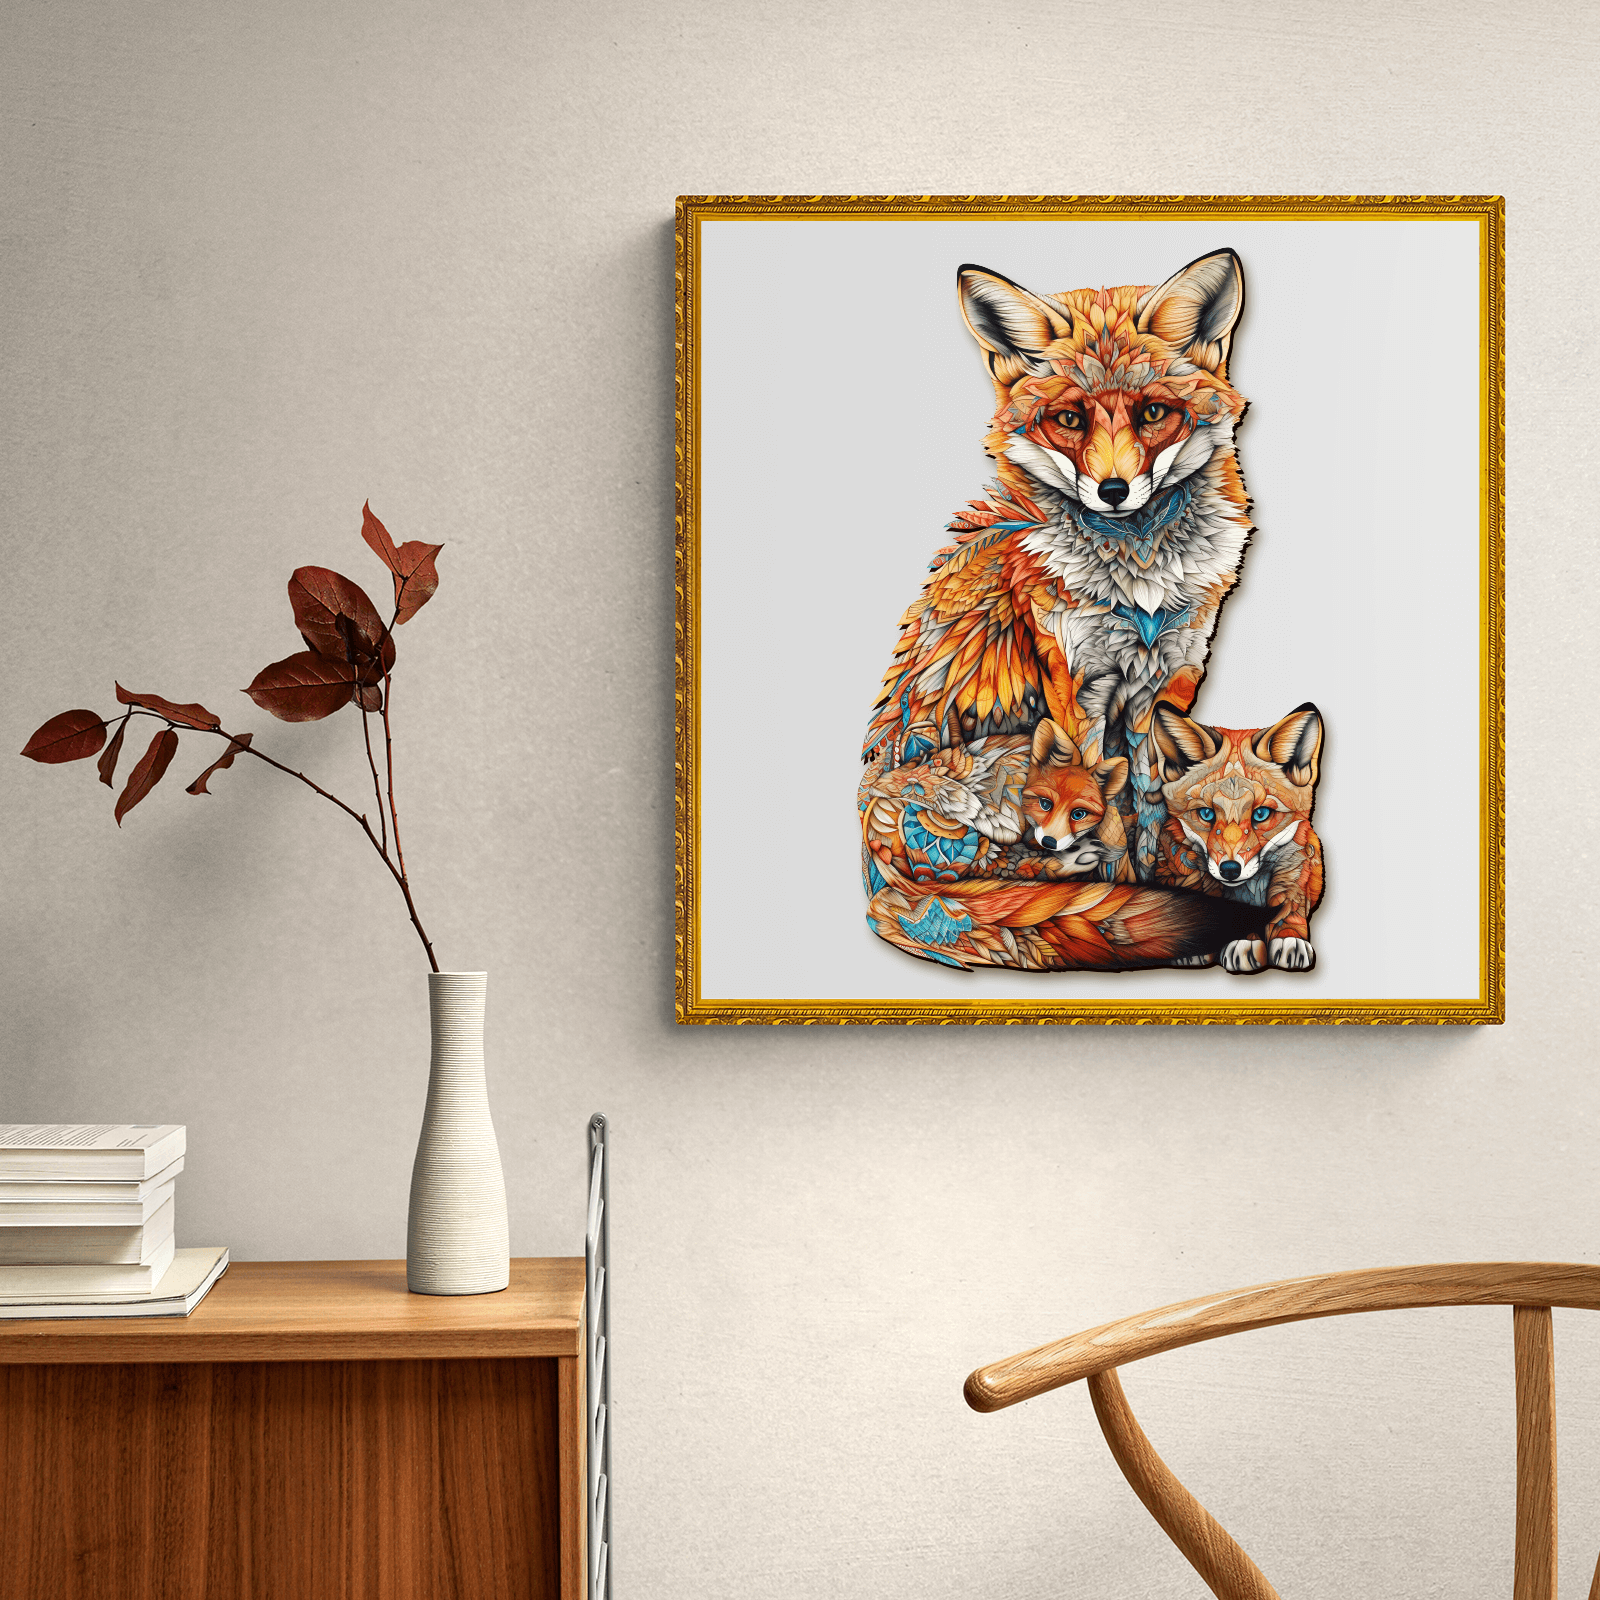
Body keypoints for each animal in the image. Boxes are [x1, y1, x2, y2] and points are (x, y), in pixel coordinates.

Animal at [862, 249, 1253, 892]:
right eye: (1070, 419)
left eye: (1153, 413)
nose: (1115, 491)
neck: (1138, 582)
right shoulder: (1077, 686)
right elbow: (1099, 790)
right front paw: (1119, 880)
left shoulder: (1168, 680)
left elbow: (1151, 796)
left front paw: (1155, 875)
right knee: (985, 855)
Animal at [1149, 701, 1325, 974]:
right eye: (1207, 814)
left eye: (1261, 814)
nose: (1230, 870)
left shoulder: (1296, 860)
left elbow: (1290, 902)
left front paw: (1289, 937)